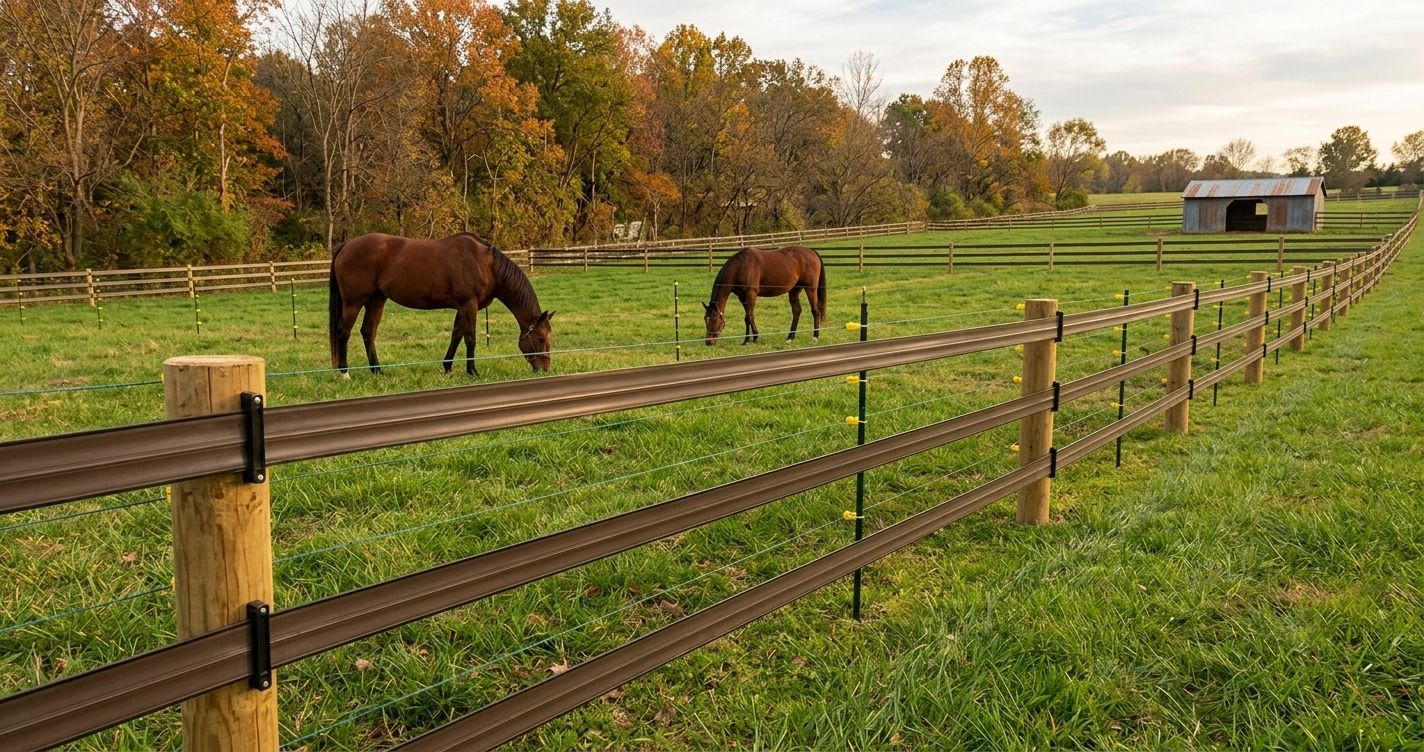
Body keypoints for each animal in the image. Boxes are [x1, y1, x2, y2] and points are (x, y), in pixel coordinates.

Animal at [328, 232, 554, 376]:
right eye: (541, 339)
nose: (544, 368)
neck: (485, 264)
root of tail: (347, 245)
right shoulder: (469, 305)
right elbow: (470, 338)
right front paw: (472, 371)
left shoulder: (462, 307)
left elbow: (456, 335)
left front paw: (448, 367)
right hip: (353, 302)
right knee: (343, 332)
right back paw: (344, 373)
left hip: (376, 300)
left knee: (368, 332)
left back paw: (377, 370)